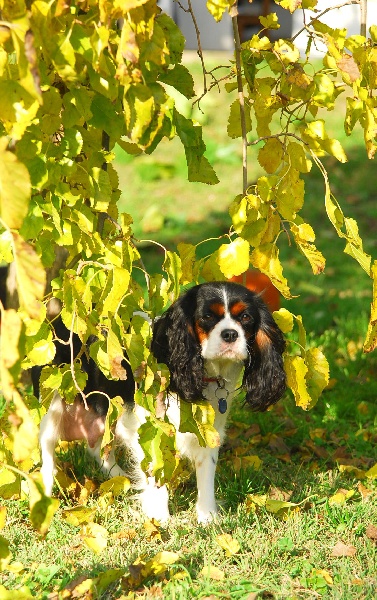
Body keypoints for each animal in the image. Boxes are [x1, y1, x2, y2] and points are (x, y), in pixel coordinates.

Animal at [36, 282, 284, 520]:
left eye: (246, 317)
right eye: (207, 316)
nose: (230, 334)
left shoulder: (210, 430)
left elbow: (206, 472)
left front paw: (207, 517)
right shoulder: (150, 428)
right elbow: (156, 472)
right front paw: (159, 517)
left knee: (97, 446)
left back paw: (120, 478)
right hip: (54, 401)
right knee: (48, 451)